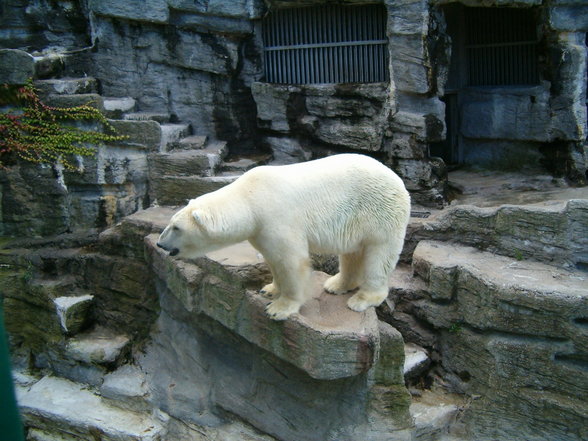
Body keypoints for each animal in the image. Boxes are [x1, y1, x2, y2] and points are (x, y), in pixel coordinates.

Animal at [158, 155, 412, 320]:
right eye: (171, 223)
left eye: (176, 228)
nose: (160, 243)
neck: (249, 198)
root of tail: (398, 179)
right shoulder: (260, 229)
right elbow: (272, 259)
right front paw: (269, 289)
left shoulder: (277, 218)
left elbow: (291, 262)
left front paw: (278, 308)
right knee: (351, 253)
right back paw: (336, 284)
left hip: (379, 213)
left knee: (379, 255)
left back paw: (362, 299)